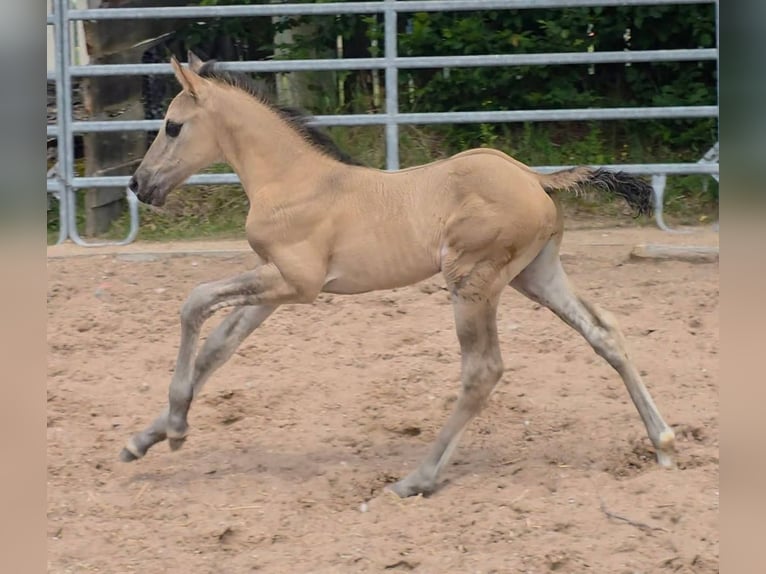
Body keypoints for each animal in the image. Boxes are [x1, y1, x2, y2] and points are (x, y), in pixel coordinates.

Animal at [121, 52, 675, 498]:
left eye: (172, 125)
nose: (139, 184)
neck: (295, 180)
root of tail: (535, 178)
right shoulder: (276, 282)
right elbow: (217, 348)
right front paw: (144, 439)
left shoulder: (297, 284)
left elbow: (194, 301)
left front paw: (176, 428)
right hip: (535, 276)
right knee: (604, 332)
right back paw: (664, 441)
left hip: (471, 281)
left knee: (483, 370)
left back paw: (418, 479)